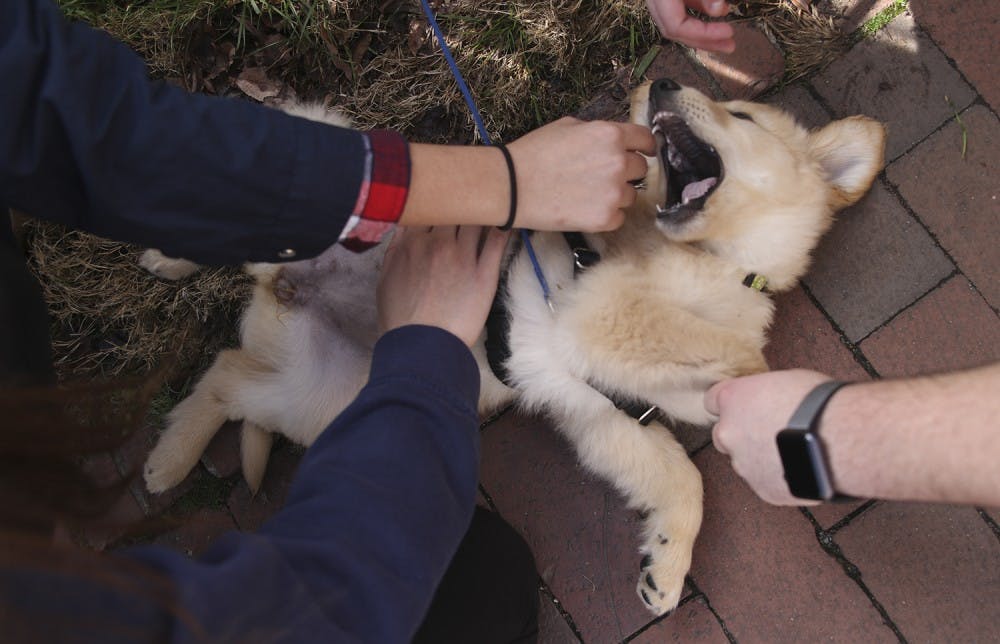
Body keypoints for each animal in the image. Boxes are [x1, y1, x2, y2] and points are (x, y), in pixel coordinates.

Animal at [141, 80, 884, 612]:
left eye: (742, 115)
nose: (660, 82)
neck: (715, 263)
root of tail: (284, 286)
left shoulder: (605, 412)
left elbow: (684, 475)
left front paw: (666, 565)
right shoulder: (599, 310)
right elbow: (715, 349)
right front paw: (763, 382)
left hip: (324, 391)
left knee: (229, 369)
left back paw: (169, 449)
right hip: (337, 169)